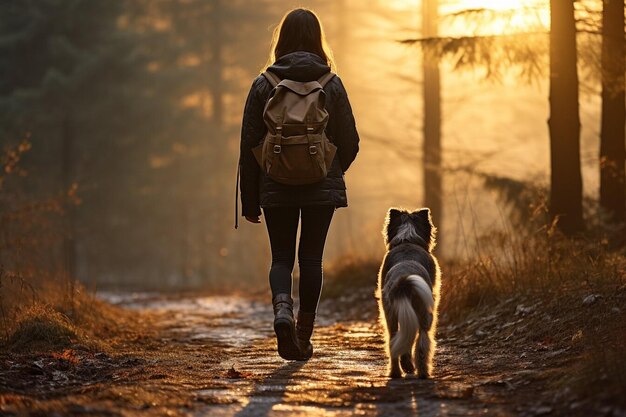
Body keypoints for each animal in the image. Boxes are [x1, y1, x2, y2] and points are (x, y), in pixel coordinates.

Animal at [376, 207, 438, 376]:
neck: (408, 241)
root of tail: (403, 281)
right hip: (425, 314)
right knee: (422, 341)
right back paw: (422, 372)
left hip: (391, 315)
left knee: (393, 341)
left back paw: (397, 372)